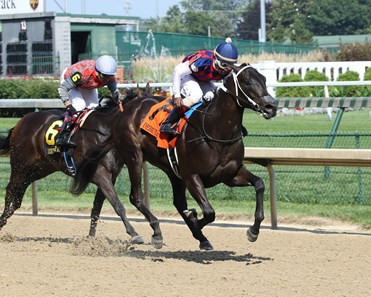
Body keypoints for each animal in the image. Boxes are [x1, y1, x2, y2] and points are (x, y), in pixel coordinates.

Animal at [74, 63, 278, 250]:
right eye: (247, 81)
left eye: (264, 79)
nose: (272, 106)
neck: (217, 131)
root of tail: (124, 111)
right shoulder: (191, 176)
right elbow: (209, 212)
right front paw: (194, 220)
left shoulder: (230, 175)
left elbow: (259, 183)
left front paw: (253, 231)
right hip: (134, 156)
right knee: (136, 196)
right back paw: (157, 232)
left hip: (172, 170)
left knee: (178, 202)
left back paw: (200, 238)